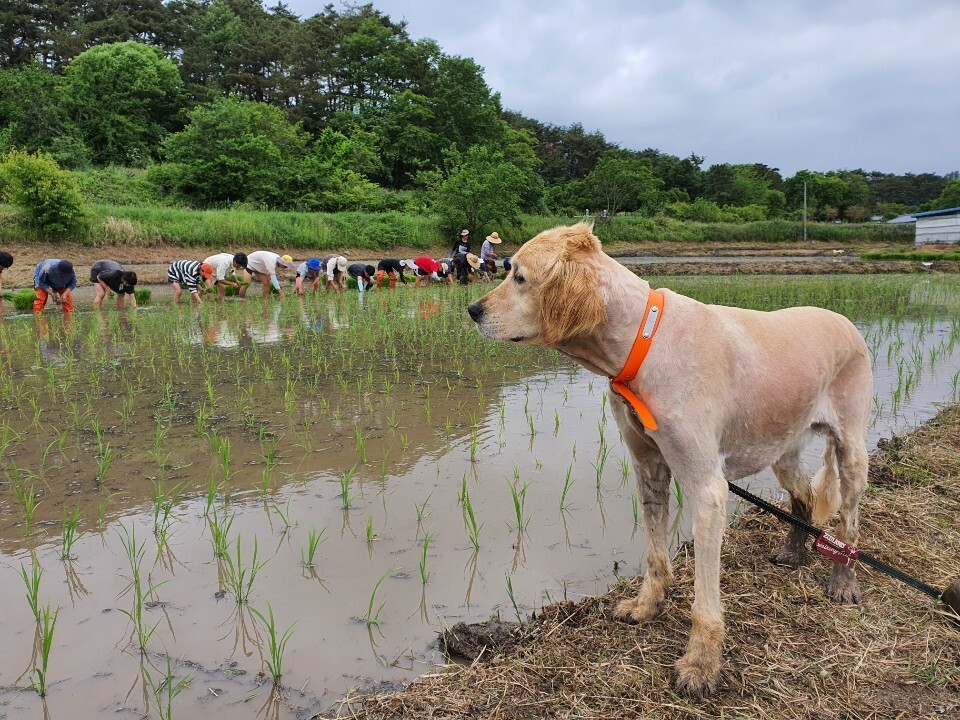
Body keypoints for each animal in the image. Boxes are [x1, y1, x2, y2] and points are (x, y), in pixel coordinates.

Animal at [468, 224, 872, 696]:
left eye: (520, 277)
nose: (472, 310)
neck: (642, 342)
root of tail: (846, 322)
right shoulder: (649, 466)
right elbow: (655, 554)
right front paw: (647, 605)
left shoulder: (707, 488)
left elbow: (705, 600)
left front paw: (700, 663)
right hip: (782, 448)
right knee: (804, 497)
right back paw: (794, 550)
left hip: (851, 448)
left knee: (849, 523)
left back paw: (843, 581)